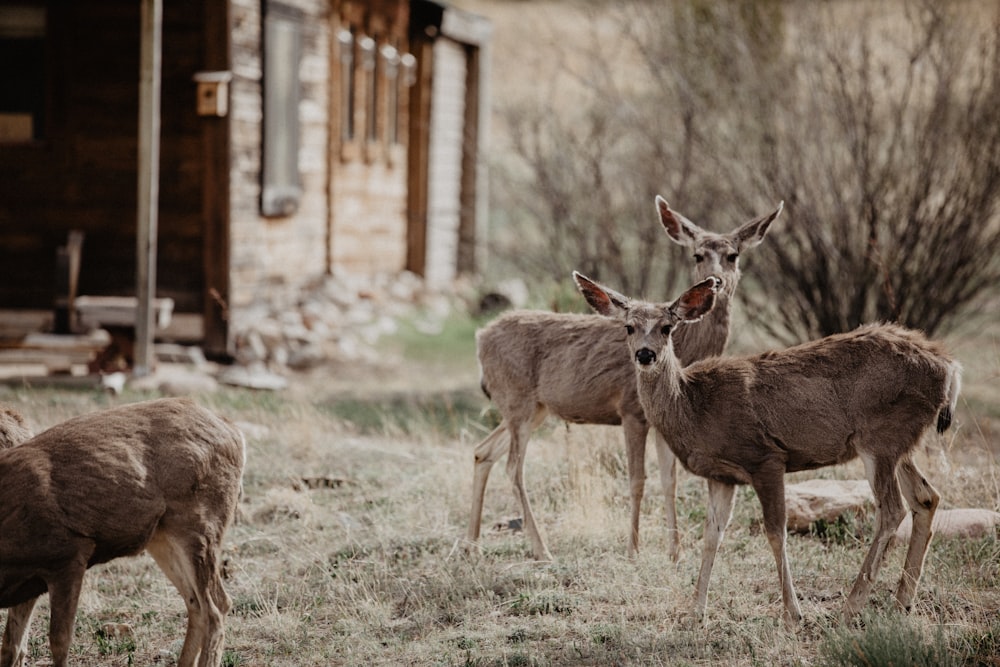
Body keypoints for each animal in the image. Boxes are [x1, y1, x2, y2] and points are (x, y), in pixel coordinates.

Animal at [0, 400, 246, 664]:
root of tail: (234, 431)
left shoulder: (69, 555)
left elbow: (58, 641)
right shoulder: (29, 581)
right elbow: (11, 646)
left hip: (201, 525)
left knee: (217, 606)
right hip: (162, 537)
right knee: (196, 604)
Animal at [464, 197, 784, 564]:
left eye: (733, 255)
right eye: (697, 255)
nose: (716, 280)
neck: (686, 350)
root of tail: (480, 338)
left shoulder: (666, 420)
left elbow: (669, 479)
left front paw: (675, 552)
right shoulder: (631, 409)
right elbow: (637, 480)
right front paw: (633, 550)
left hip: (534, 408)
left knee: (482, 451)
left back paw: (472, 543)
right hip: (518, 400)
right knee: (514, 467)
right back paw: (542, 549)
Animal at [576, 272, 964, 628]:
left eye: (667, 327)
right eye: (628, 327)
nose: (646, 354)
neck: (694, 407)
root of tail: (950, 367)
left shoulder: (765, 458)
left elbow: (776, 533)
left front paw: (793, 613)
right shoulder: (722, 476)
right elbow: (711, 536)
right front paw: (695, 613)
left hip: (879, 439)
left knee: (892, 509)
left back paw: (851, 607)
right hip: (901, 443)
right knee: (926, 498)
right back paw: (902, 602)